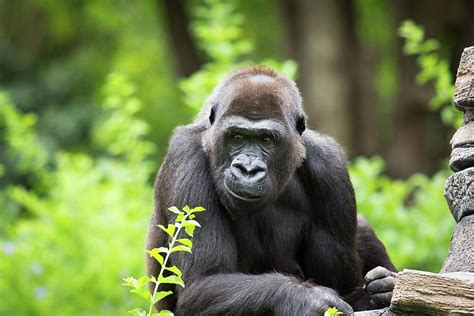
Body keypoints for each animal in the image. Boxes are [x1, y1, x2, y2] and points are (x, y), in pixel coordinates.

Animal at [147, 65, 396, 314]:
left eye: (266, 139)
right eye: (237, 136)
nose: (248, 169)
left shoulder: (330, 166)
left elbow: (348, 291)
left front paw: (381, 291)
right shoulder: (186, 154)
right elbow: (202, 282)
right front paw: (304, 299)